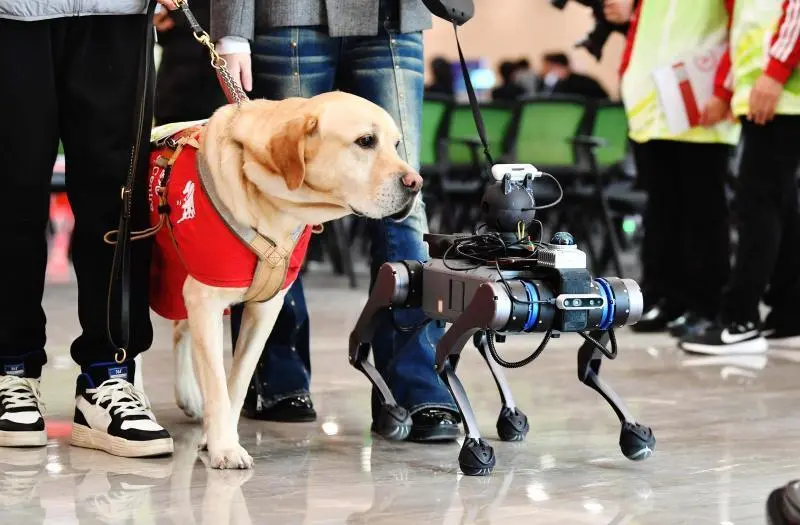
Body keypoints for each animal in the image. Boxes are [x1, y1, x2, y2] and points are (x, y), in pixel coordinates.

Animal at [348, 0, 656, 476]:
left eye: (586, 298)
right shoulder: (489, 300)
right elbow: (444, 359)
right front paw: (474, 445)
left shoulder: (613, 301)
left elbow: (590, 367)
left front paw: (633, 427)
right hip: (408, 280)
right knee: (369, 327)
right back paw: (395, 410)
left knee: (478, 343)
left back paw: (509, 413)